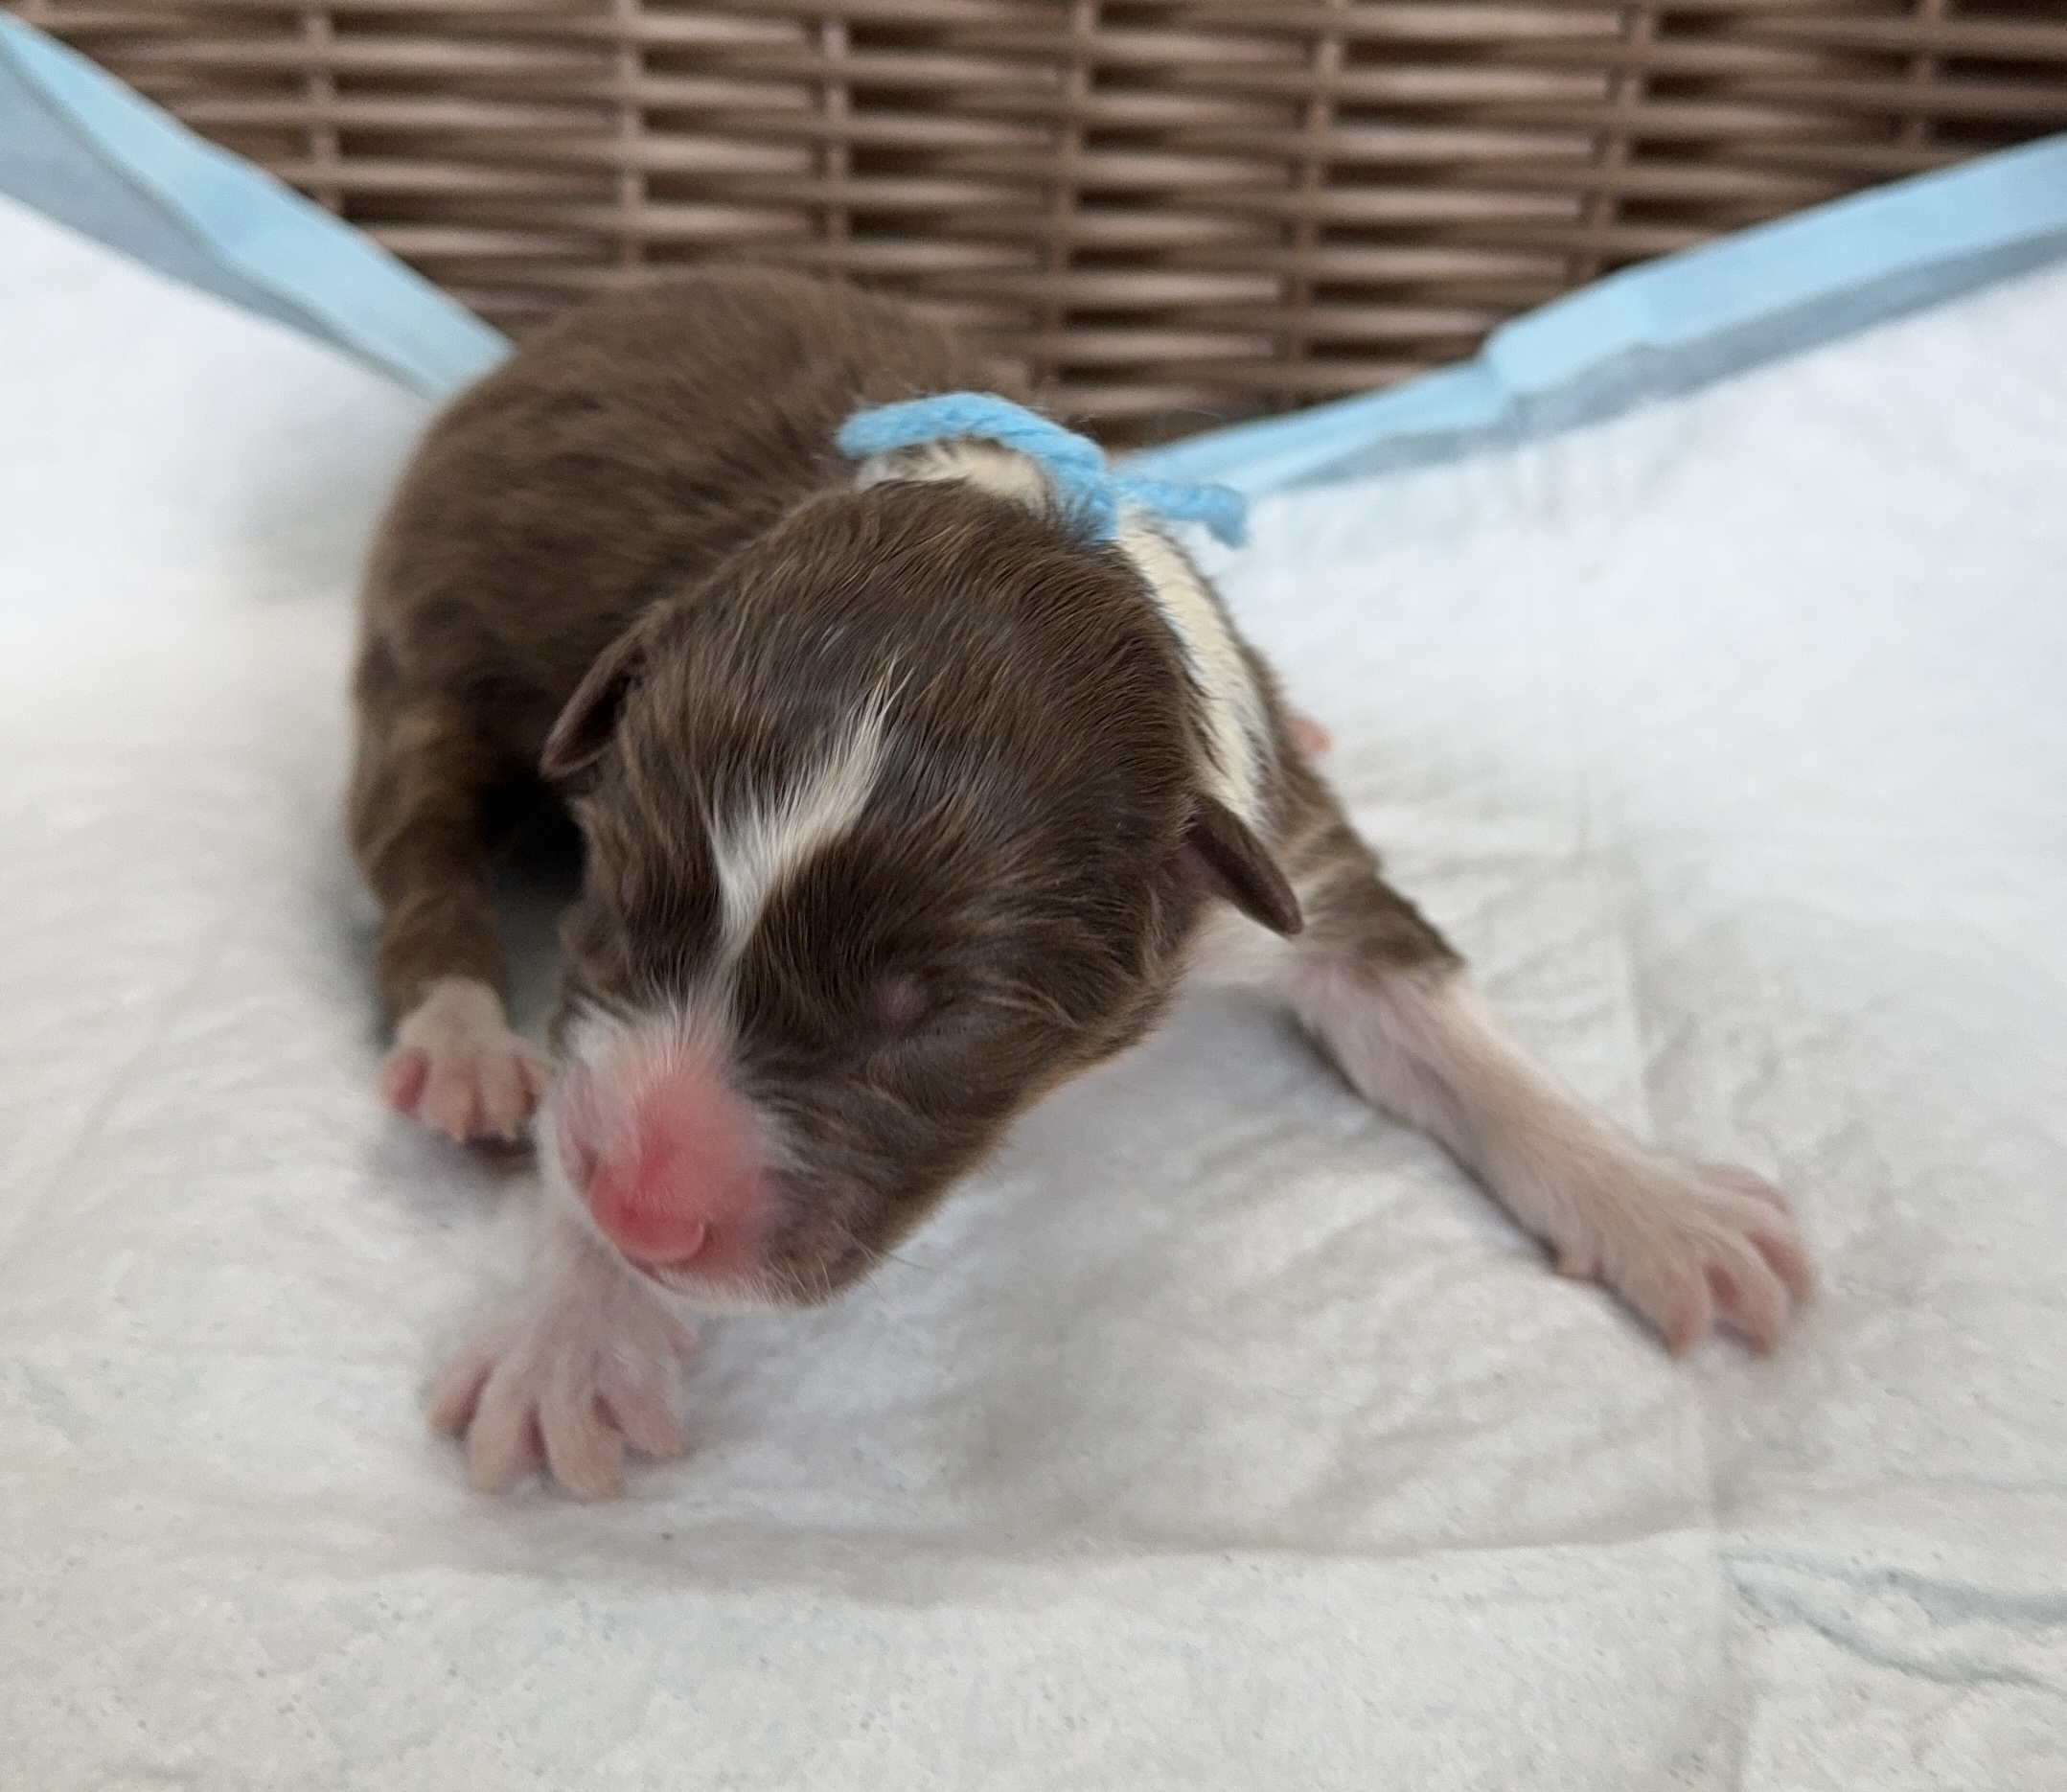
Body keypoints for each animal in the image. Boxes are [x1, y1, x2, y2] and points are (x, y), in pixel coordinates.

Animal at [351, 266, 1810, 1496]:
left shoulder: (1281, 842)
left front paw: (1660, 1200)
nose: (643, 1212)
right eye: (620, 897)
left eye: (930, 1013)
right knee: (411, 841)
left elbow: (1448, 1028)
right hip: (423, 645)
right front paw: (574, 1331)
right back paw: (461, 1040)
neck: (1003, 520)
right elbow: (581, 1060)